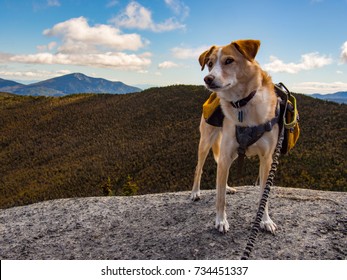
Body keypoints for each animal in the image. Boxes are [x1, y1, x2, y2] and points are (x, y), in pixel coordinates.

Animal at [193, 39, 280, 234]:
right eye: (210, 63)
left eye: (229, 61)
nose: (208, 78)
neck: (243, 104)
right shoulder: (225, 152)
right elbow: (220, 199)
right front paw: (220, 220)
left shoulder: (267, 159)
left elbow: (264, 195)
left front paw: (265, 220)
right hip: (206, 142)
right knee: (199, 168)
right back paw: (195, 192)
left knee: (221, 175)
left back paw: (226, 187)